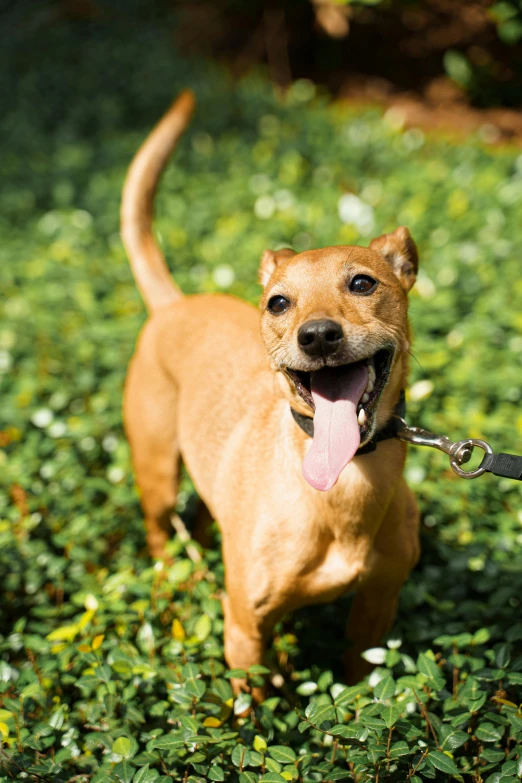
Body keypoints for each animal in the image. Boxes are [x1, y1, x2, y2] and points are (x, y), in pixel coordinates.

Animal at [121, 92, 418, 692]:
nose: (318, 335)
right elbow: (249, 705)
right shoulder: (244, 633)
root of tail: (174, 305)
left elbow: (360, 686)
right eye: (278, 302)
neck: (346, 483)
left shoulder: (375, 618)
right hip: (156, 474)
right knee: (160, 533)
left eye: (363, 283)